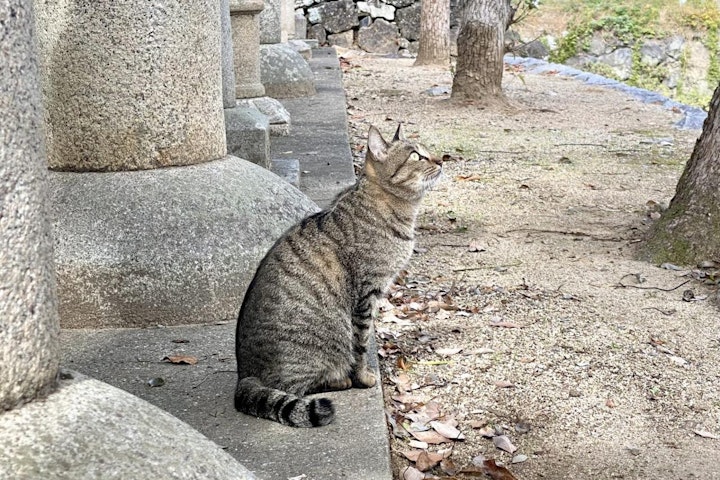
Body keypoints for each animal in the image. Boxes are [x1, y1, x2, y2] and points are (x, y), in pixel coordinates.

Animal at [233, 124, 442, 428]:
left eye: (428, 151)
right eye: (416, 155)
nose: (441, 160)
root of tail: (244, 375)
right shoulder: (366, 294)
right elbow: (361, 345)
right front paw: (363, 377)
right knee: (296, 387)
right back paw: (339, 379)